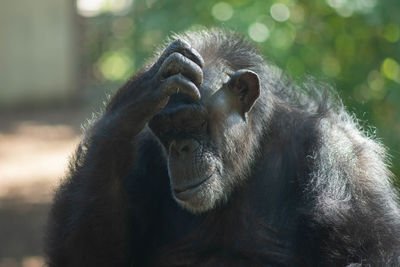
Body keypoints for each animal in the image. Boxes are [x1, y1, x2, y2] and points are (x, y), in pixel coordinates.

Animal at [46, 28, 400, 266]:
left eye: (193, 120)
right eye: (166, 129)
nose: (181, 148)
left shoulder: (346, 161)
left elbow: (372, 254)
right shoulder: (141, 155)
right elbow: (89, 255)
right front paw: (139, 91)